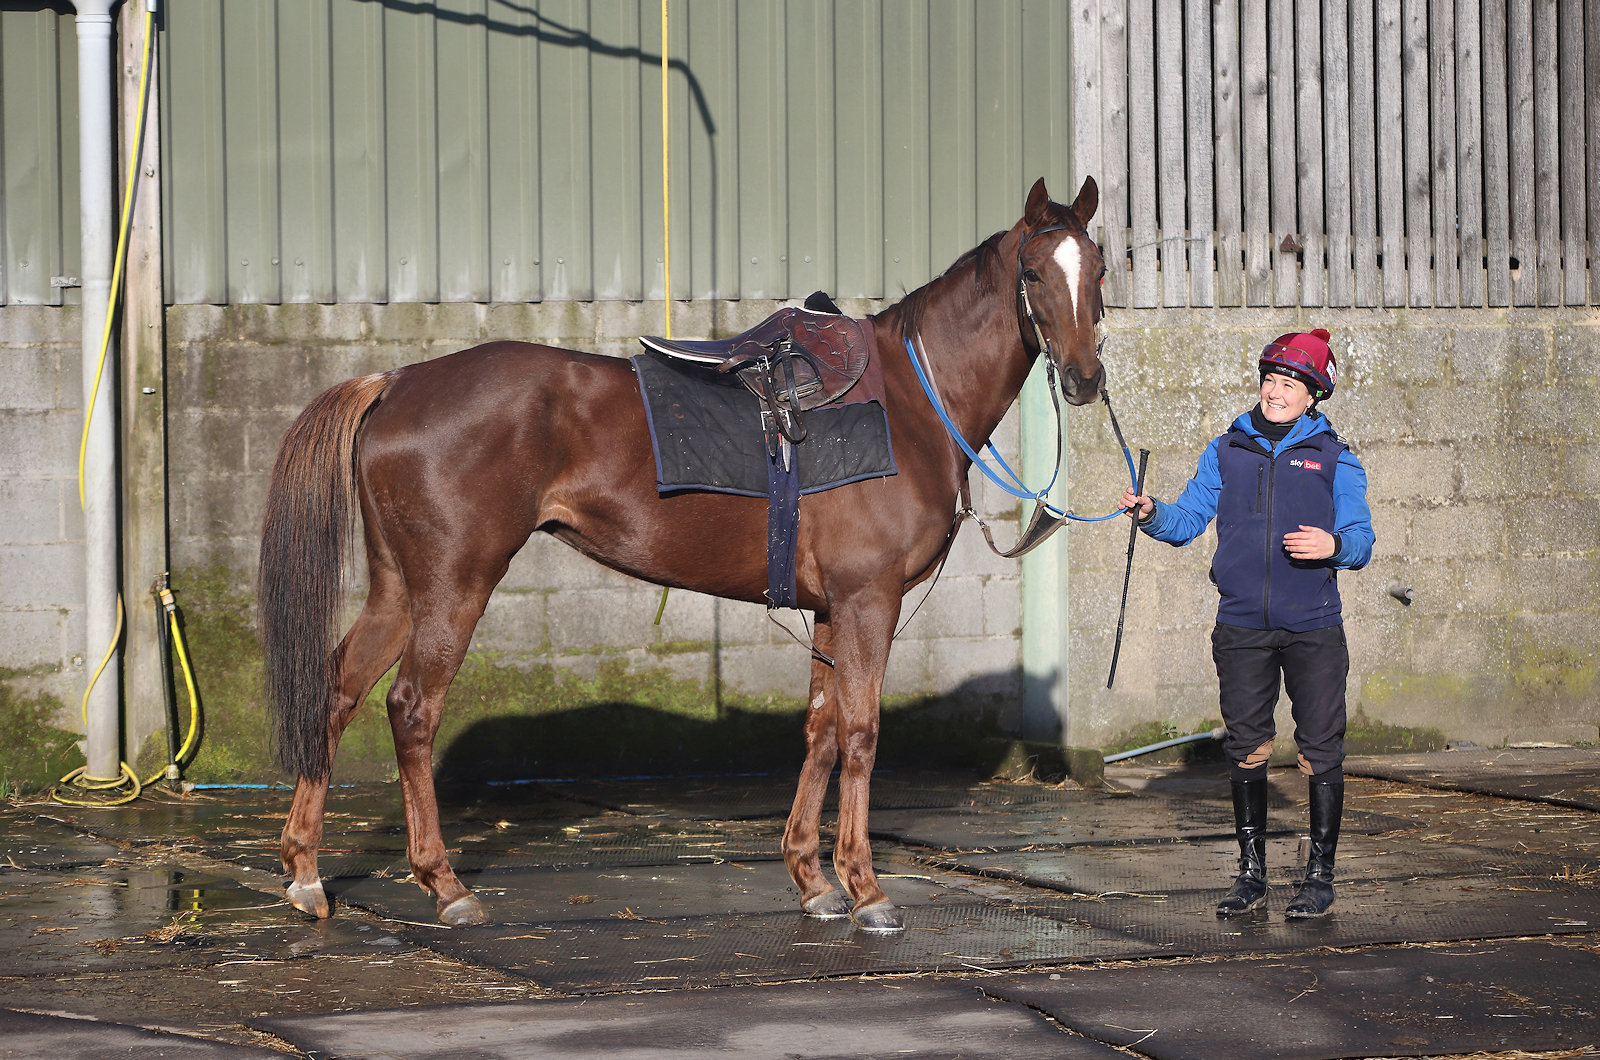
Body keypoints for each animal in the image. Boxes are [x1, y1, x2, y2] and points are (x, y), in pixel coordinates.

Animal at [258, 176, 1106, 933]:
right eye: (1034, 272)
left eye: (1098, 269)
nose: (1086, 379)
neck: (905, 402)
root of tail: (397, 380)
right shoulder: (870, 600)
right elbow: (862, 734)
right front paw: (866, 890)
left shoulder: (832, 610)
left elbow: (822, 731)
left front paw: (813, 881)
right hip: (453, 585)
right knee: (411, 709)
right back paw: (445, 886)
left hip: (398, 589)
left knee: (337, 692)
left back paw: (304, 871)